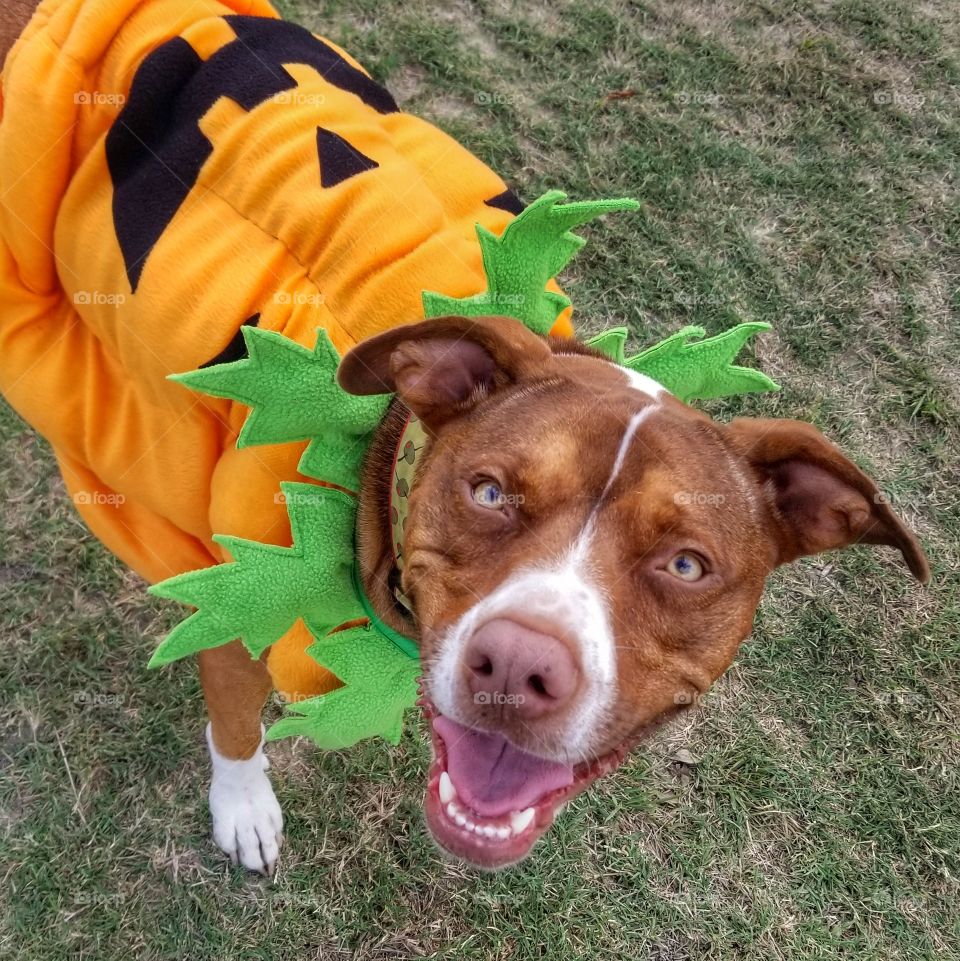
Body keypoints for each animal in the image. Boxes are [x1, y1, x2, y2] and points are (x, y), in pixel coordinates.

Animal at [1, 0, 928, 872]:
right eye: (488, 491)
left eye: (687, 565)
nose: (519, 667)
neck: (383, 464)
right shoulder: (236, 599)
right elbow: (236, 727)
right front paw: (244, 811)